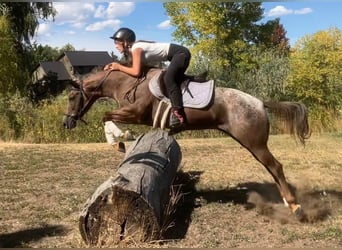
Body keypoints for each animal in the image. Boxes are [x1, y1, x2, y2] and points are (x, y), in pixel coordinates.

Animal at [62, 67, 312, 220]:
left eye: (72, 97)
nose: (66, 123)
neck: (128, 82)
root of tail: (260, 102)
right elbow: (107, 116)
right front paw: (121, 140)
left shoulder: (135, 113)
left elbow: (106, 116)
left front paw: (120, 139)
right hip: (251, 143)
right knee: (272, 169)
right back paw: (286, 201)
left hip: (254, 143)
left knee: (275, 167)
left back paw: (295, 206)